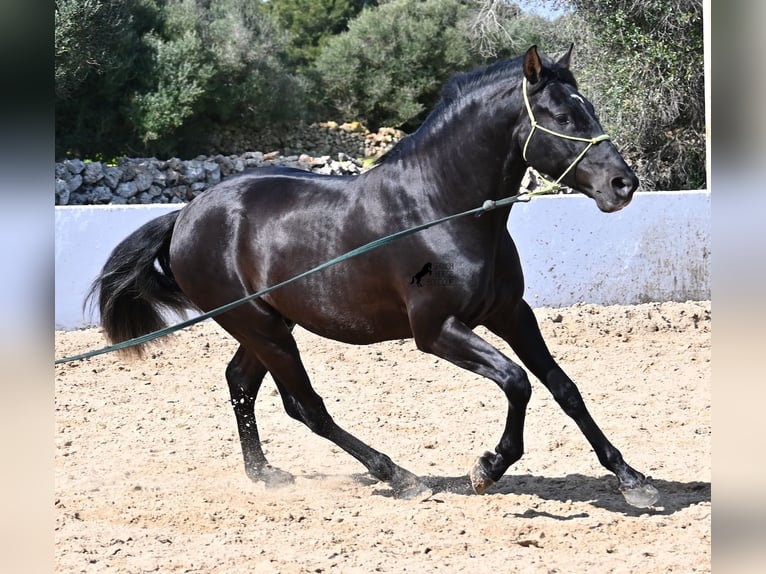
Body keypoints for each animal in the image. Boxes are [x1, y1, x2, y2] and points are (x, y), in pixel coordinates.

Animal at [87, 47, 656, 510]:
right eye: (562, 116)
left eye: (589, 108)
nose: (623, 184)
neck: (440, 210)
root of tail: (185, 215)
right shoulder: (436, 331)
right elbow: (517, 382)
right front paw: (487, 468)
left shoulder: (511, 314)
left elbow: (564, 388)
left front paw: (632, 480)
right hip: (259, 326)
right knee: (306, 406)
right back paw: (398, 476)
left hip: (270, 324)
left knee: (241, 384)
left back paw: (265, 474)